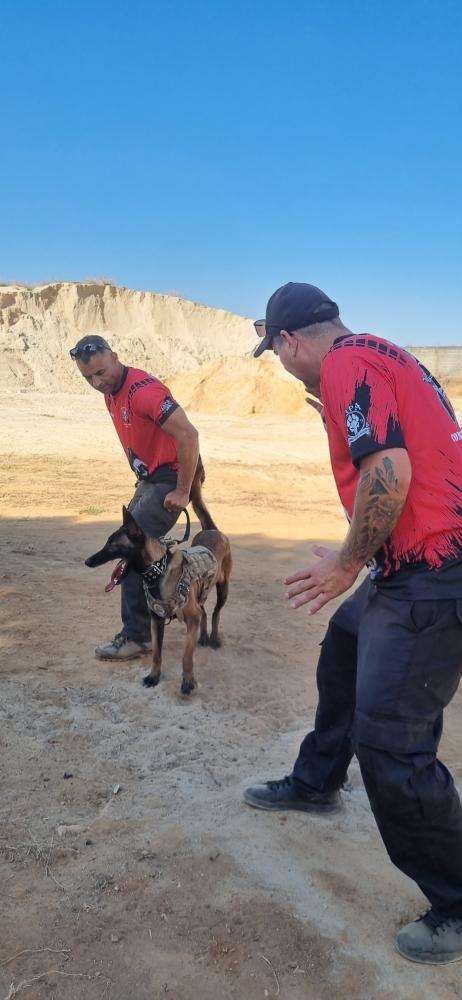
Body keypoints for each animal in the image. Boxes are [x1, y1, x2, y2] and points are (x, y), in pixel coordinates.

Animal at [85, 504, 232, 695]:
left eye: (112, 545)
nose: (87, 561)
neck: (159, 571)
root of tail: (212, 530)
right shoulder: (157, 621)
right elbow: (156, 654)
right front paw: (154, 676)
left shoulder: (191, 619)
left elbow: (186, 657)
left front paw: (188, 681)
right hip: (201, 593)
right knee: (205, 612)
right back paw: (204, 636)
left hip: (223, 590)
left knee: (216, 612)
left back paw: (213, 637)